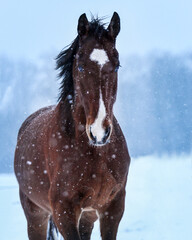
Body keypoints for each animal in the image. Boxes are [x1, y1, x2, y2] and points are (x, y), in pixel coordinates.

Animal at [13, 12, 130, 239]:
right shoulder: (64, 210)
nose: (99, 132)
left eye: (117, 65)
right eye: (81, 66)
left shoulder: (113, 207)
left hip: (88, 216)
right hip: (35, 214)